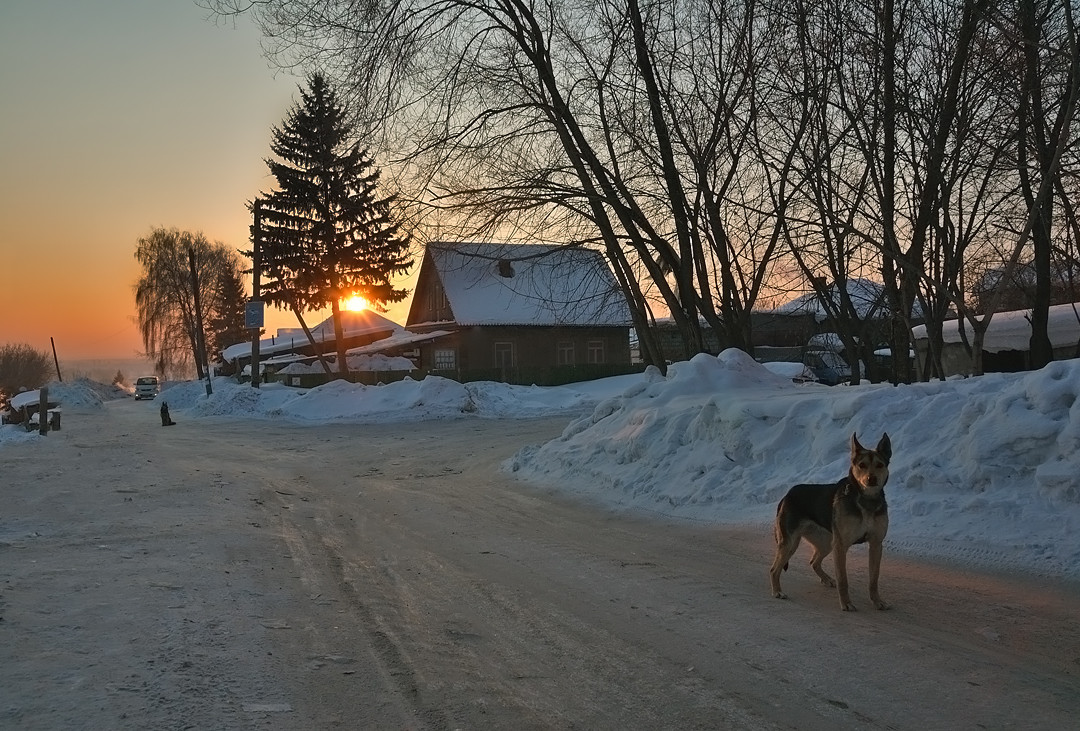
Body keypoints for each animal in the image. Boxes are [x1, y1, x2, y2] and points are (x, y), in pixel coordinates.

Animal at [768, 434, 894, 608]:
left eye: (880, 465)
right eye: (862, 465)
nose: (871, 479)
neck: (866, 500)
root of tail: (787, 495)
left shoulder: (876, 544)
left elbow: (873, 580)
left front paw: (877, 601)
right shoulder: (841, 546)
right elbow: (843, 579)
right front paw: (846, 603)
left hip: (825, 542)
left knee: (813, 562)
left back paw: (826, 579)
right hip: (790, 543)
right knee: (774, 569)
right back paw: (777, 591)